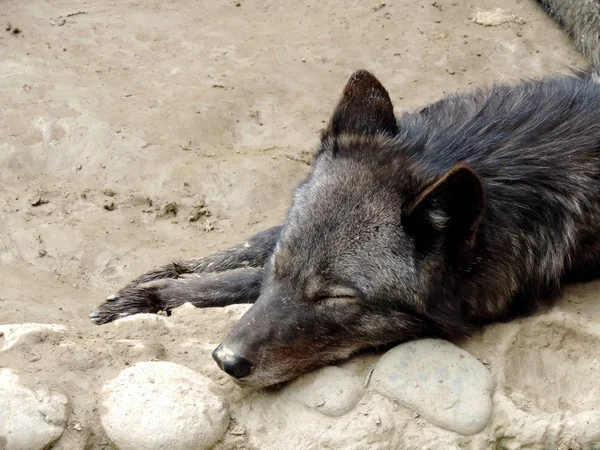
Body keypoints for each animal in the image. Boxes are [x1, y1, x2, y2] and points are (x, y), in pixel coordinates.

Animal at [89, 1, 600, 386]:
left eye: (337, 298)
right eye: (282, 266)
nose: (226, 360)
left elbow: (240, 282)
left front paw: (153, 298)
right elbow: (252, 248)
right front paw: (163, 280)